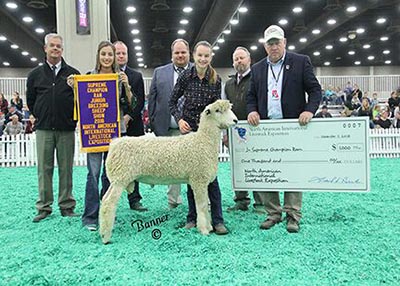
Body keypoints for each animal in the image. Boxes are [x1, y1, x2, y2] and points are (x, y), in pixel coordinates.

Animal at [99, 100, 238, 244]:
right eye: (217, 111)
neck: (203, 141)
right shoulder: (198, 180)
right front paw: (204, 230)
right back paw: (105, 237)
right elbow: (202, 205)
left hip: (116, 179)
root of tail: (114, 144)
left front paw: (209, 227)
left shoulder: (201, 180)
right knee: (109, 203)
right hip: (120, 179)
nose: (235, 120)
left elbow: (205, 203)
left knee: (104, 200)